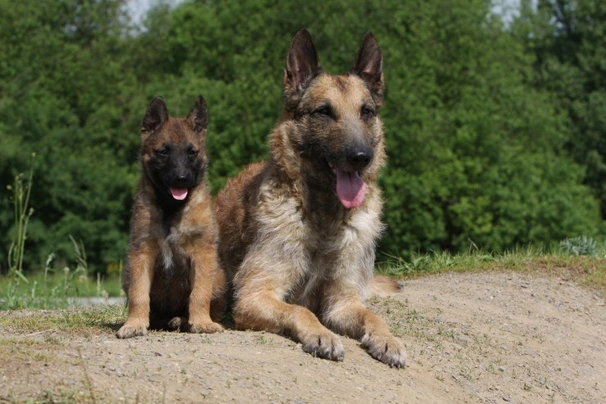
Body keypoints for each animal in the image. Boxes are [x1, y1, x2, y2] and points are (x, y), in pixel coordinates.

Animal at [116, 96, 226, 340]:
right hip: (127, 273)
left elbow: (199, 293)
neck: (171, 209)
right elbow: (139, 294)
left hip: (219, 276)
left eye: (191, 152)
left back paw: (183, 320)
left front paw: (202, 322)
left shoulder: (203, 254)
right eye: (163, 151)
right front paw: (134, 324)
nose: (181, 178)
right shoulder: (141, 253)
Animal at [215, 30, 408, 368]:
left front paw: (388, 339)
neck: (323, 216)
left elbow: (373, 316)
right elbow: (300, 309)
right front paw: (321, 335)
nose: (361, 157)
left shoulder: (343, 303)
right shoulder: (255, 295)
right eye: (324, 112)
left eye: (366, 112)